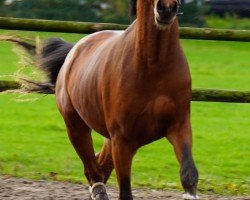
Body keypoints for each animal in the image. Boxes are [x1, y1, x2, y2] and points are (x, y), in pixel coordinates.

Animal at [5, 0, 199, 199]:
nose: (166, 8)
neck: (154, 67)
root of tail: (73, 52)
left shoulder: (179, 126)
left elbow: (189, 173)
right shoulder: (122, 139)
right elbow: (125, 191)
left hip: (110, 139)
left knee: (101, 167)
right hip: (76, 127)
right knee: (93, 171)